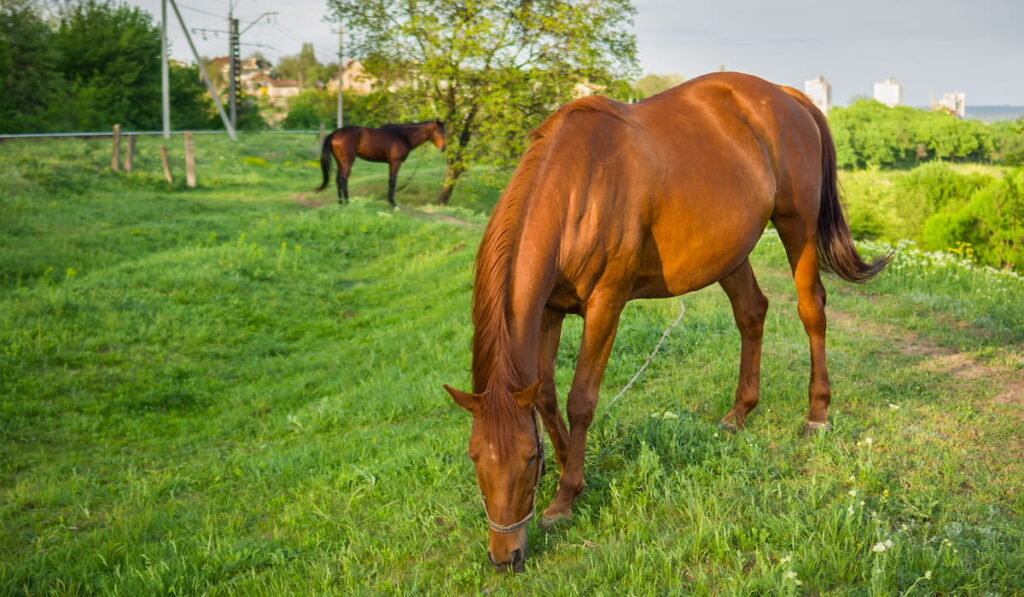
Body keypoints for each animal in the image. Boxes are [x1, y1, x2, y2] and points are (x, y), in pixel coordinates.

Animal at [313, 120, 446, 206]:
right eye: (438, 132)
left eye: (445, 132)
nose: (443, 148)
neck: (402, 136)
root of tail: (335, 133)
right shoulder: (395, 162)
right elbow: (393, 181)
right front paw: (393, 204)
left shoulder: (391, 163)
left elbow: (390, 181)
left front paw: (389, 201)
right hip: (347, 162)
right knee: (343, 180)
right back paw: (347, 202)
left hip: (340, 162)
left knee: (338, 180)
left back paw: (341, 203)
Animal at [444, 72, 892, 573]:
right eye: (475, 458)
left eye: (527, 459)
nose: (506, 556)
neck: (576, 187)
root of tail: (788, 96)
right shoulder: (549, 309)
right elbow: (544, 395)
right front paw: (568, 469)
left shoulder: (606, 304)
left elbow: (581, 399)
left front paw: (565, 496)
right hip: (728, 250)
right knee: (751, 312)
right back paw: (739, 413)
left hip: (798, 227)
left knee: (811, 310)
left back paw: (817, 414)